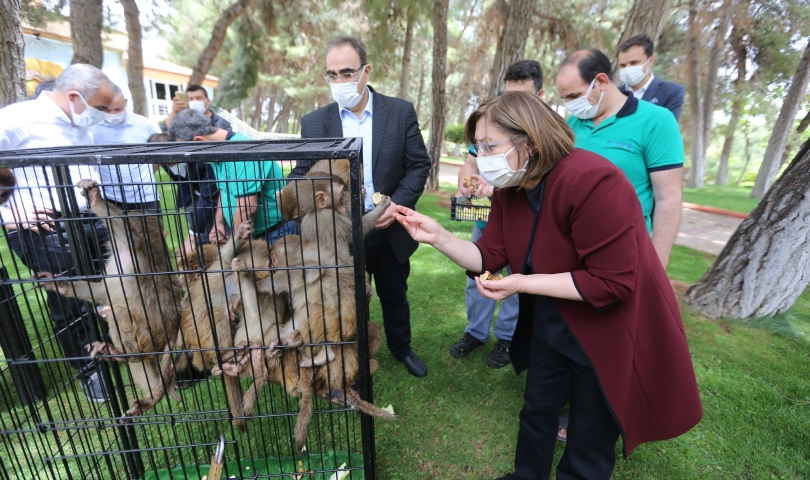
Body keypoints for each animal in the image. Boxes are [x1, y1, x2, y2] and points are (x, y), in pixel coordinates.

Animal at [36, 179, 181, 416]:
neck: (121, 253)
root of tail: (169, 334)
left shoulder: (138, 254)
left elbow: (133, 240)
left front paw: (96, 199)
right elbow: (101, 291)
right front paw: (60, 284)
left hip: (147, 334)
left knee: (118, 315)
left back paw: (123, 354)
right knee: (141, 359)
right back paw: (150, 396)